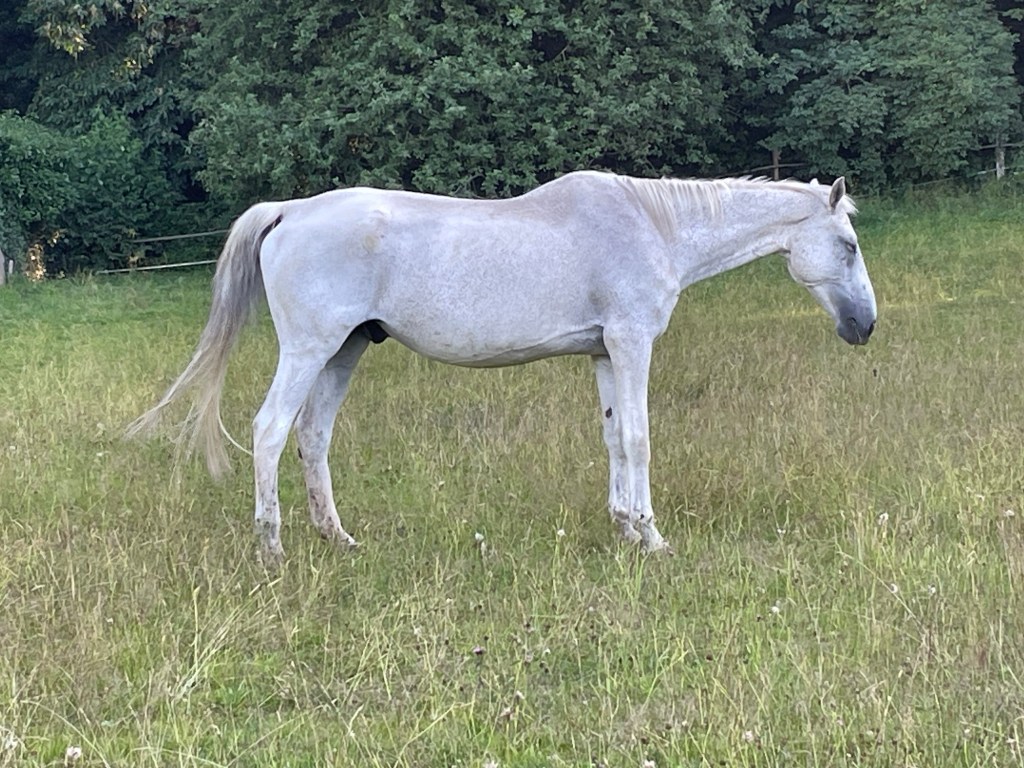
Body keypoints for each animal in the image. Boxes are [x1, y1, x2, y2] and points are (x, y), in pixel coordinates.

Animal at [129, 171, 876, 566]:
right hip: (311, 348)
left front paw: (623, 528)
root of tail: (288, 210)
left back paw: (337, 537)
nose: (864, 326)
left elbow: (613, 438)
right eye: (847, 244)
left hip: (345, 350)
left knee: (313, 437)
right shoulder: (632, 343)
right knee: (269, 431)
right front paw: (654, 538)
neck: (651, 226)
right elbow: (639, 440)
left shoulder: (604, 352)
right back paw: (274, 550)